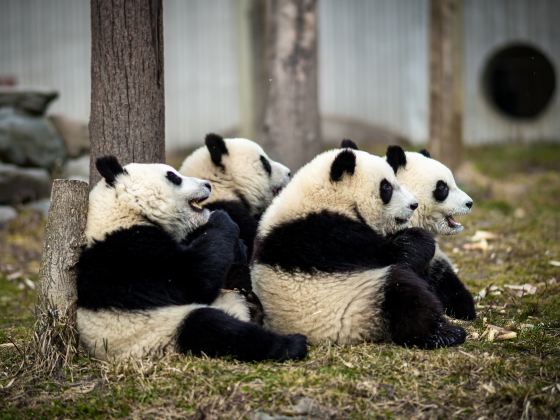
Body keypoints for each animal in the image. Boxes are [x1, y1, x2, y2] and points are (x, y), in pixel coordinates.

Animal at [74, 155, 306, 360]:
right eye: (173, 177)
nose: (207, 185)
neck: (123, 211)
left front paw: (238, 253)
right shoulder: (131, 253)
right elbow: (193, 279)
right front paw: (221, 218)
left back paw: (255, 308)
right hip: (158, 336)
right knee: (213, 328)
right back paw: (292, 344)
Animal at [252, 146, 466, 350]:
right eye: (387, 187)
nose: (413, 204)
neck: (326, 197)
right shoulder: (327, 235)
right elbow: (392, 255)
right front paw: (421, 239)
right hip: (352, 307)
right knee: (402, 293)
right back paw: (446, 334)